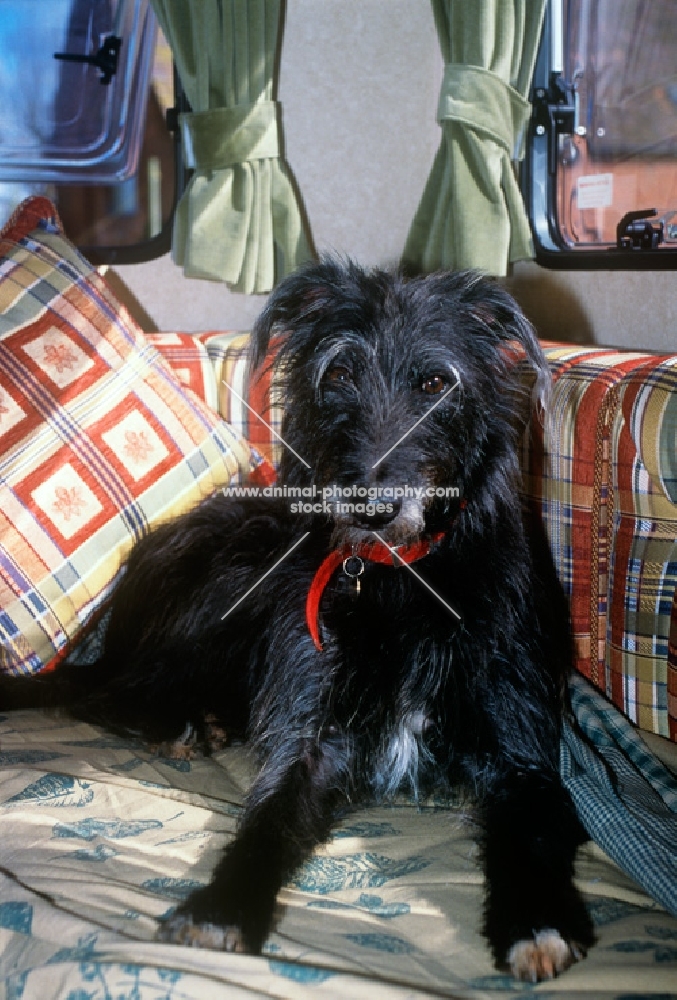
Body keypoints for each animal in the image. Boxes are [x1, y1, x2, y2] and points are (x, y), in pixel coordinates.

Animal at [0, 260, 592, 984]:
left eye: (435, 382)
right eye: (337, 375)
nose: (369, 507)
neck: (398, 581)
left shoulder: (519, 748)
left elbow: (529, 829)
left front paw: (535, 921)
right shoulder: (310, 734)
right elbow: (270, 816)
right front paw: (221, 906)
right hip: (232, 581)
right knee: (98, 691)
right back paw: (178, 726)